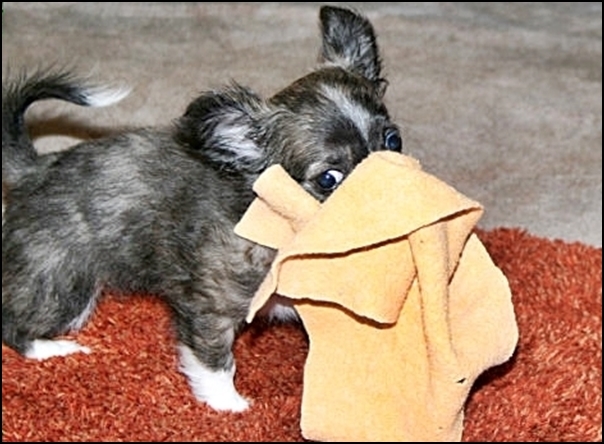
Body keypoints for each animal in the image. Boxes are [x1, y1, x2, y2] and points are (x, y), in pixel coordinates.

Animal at [2, 5, 402, 412]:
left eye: (393, 141)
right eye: (328, 179)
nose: (394, 188)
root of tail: (36, 167)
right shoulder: (209, 308)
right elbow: (215, 362)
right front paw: (228, 405)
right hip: (64, 284)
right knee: (14, 325)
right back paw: (54, 350)